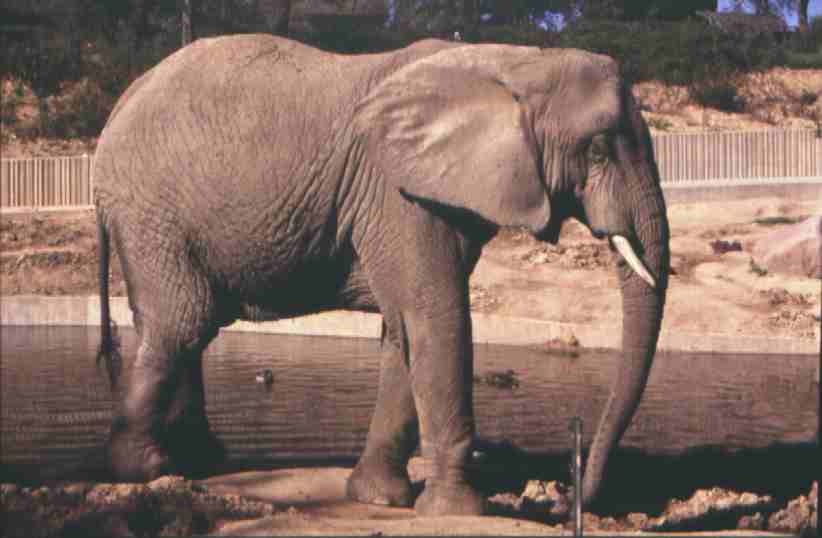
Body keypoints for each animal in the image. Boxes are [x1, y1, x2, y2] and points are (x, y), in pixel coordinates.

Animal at [93, 34, 670, 517]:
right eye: (599, 148)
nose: (571, 495)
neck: (512, 60)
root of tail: (121, 103)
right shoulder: (398, 194)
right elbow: (437, 317)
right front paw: (457, 512)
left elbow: (403, 329)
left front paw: (379, 499)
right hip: (154, 214)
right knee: (180, 324)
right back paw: (146, 471)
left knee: (190, 328)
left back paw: (201, 463)